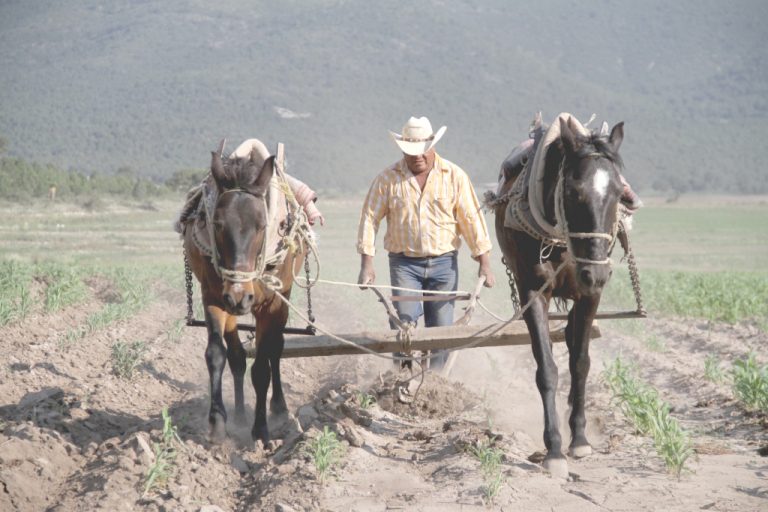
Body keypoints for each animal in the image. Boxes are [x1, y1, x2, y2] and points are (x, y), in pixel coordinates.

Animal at [183, 142, 306, 446]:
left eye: (262, 225)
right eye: (216, 223)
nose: (240, 296)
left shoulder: (269, 306)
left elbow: (262, 368)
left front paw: (260, 430)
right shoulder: (213, 297)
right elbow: (216, 354)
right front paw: (217, 423)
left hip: (279, 300)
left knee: (275, 350)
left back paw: (278, 408)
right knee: (237, 356)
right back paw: (239, 414)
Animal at [496, 114, 628, 478]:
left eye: (619, 193)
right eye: (572, 191)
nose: (597, 273)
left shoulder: (590, 294)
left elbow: (580, 363)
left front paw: (579, 438)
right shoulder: (531, 292)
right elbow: (547, 369)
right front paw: (554, 449)